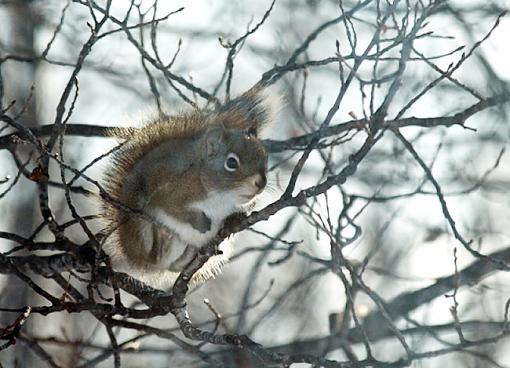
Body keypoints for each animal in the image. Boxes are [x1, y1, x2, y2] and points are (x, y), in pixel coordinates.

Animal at [101, 87, 280, 288]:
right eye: (231, 163)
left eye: (265, 157)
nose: (260, 183)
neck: (222, 197)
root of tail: (131, 254)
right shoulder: (172, 189)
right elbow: (171, 207)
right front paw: (199, 221)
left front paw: (234, 219)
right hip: (141, 229)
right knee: (156, 257)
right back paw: (162, 240)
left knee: (174, 267)